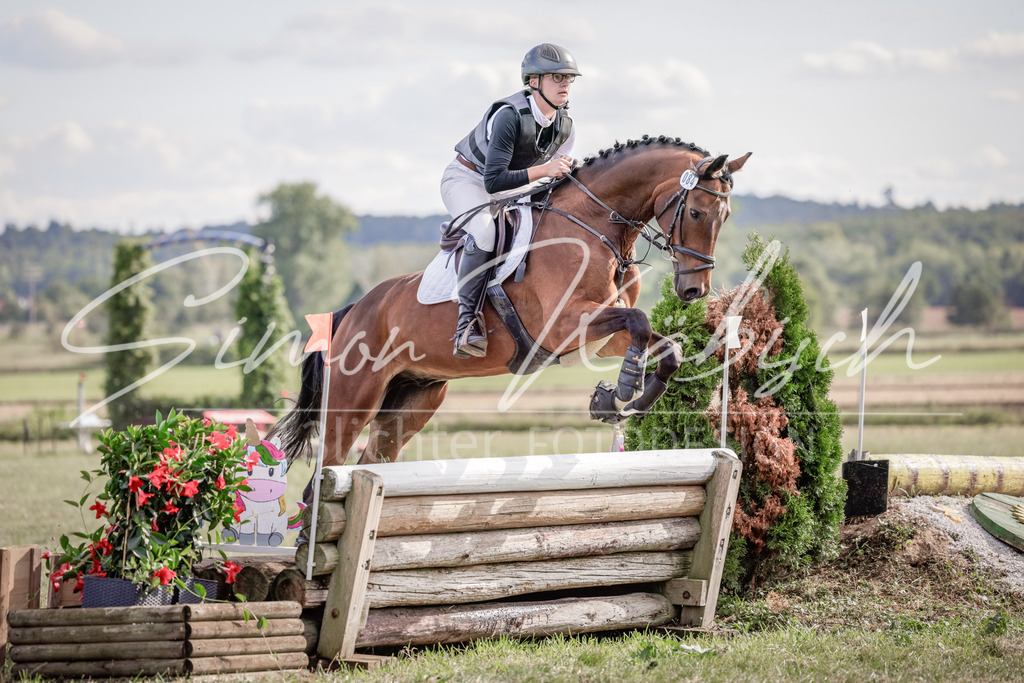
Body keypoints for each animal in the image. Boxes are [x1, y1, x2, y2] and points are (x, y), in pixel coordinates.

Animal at [271, 136, 751, 469]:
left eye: (726, 216)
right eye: (695, 213)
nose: (694, 291)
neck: (594, 224)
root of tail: (351, 312)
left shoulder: (598, 337)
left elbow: (666, 346)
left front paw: (621, 398)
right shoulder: (566, 324)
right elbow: (638, 320)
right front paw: (622, 390)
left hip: (413, 401)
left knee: (371, 463)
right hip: (353, 400)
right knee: (327, 471)